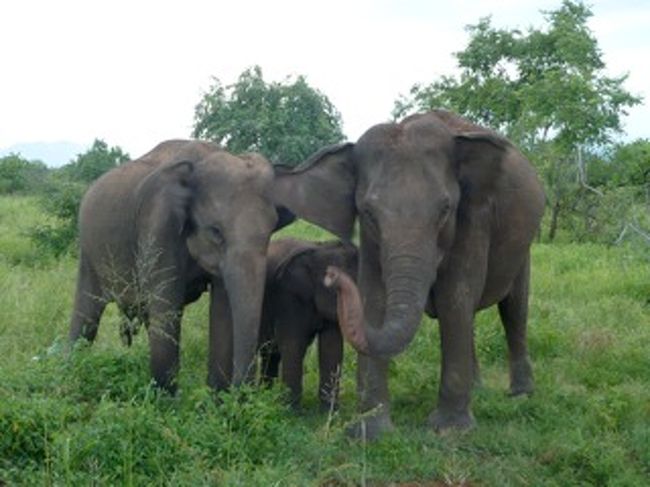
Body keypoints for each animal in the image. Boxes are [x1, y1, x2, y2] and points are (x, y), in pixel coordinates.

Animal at [67, 139, 292, 394]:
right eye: (215, 231)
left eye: (271, 230)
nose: (243, 392)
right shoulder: (157, 225)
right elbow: (167, 303)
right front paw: (165, 399)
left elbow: (222, 308)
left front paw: (216, 398)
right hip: (89, 250)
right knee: (86, 314)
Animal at [270, 111, 544, 438]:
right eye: (368, 213)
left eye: (445, 209)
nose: (331, 276)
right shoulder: (371, 240)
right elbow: (374, 299)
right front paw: (369, 433)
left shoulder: (474, 216)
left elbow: (455, 297)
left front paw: (450, 431)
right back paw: (478, 389)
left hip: (523, 246)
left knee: (513, 308)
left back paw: (521, 395)